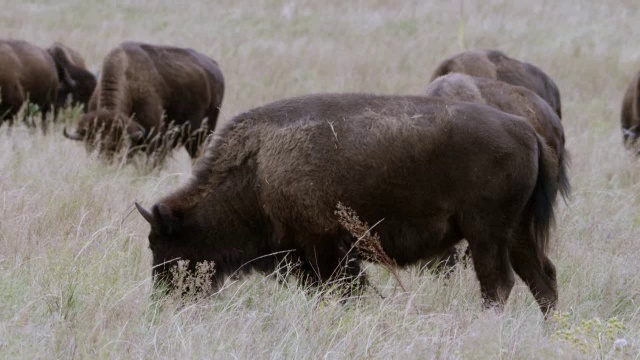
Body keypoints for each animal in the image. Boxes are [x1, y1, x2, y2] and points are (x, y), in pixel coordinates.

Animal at [136, 93, 560, 316]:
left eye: (162, 243)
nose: (162, 298)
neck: (256, 169)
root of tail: (527, 131)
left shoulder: (327, 250)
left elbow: (346, 290)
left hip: (485, 233)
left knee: (498, 282)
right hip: (516, 233)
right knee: (541, 276)